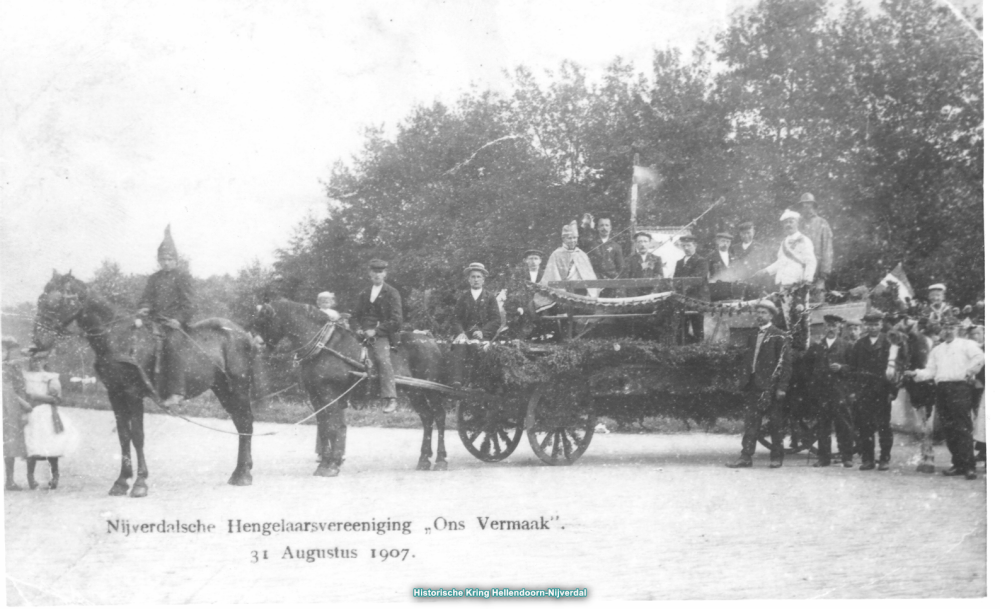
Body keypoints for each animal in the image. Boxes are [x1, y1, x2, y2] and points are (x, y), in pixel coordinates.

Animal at [34, 270, 262, 494]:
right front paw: (121, 481)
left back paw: (244, 475)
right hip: (222, 389)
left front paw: (140, 483)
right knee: (240, 423)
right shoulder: (114, 393)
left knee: (246, 422)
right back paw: (240, 470)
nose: (38, 342)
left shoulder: (133, 393)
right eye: (41, 299)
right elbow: (123, 436)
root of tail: (245, 334)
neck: (118, 338)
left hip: (239, 387)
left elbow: (137, 435)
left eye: (57, 301)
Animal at [252, 296, 452, 472]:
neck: (325, 346)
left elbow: (332, 427)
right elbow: (323, 427)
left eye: (264, 321)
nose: (256, 347)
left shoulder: (329, 395)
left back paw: (441, 460)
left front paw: (331, 466)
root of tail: (429, 339)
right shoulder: (317, 397)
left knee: (439, 417)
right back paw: (424, 460)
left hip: (432, 391)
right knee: (427, 418)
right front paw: (324, 463)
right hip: (415, 391)